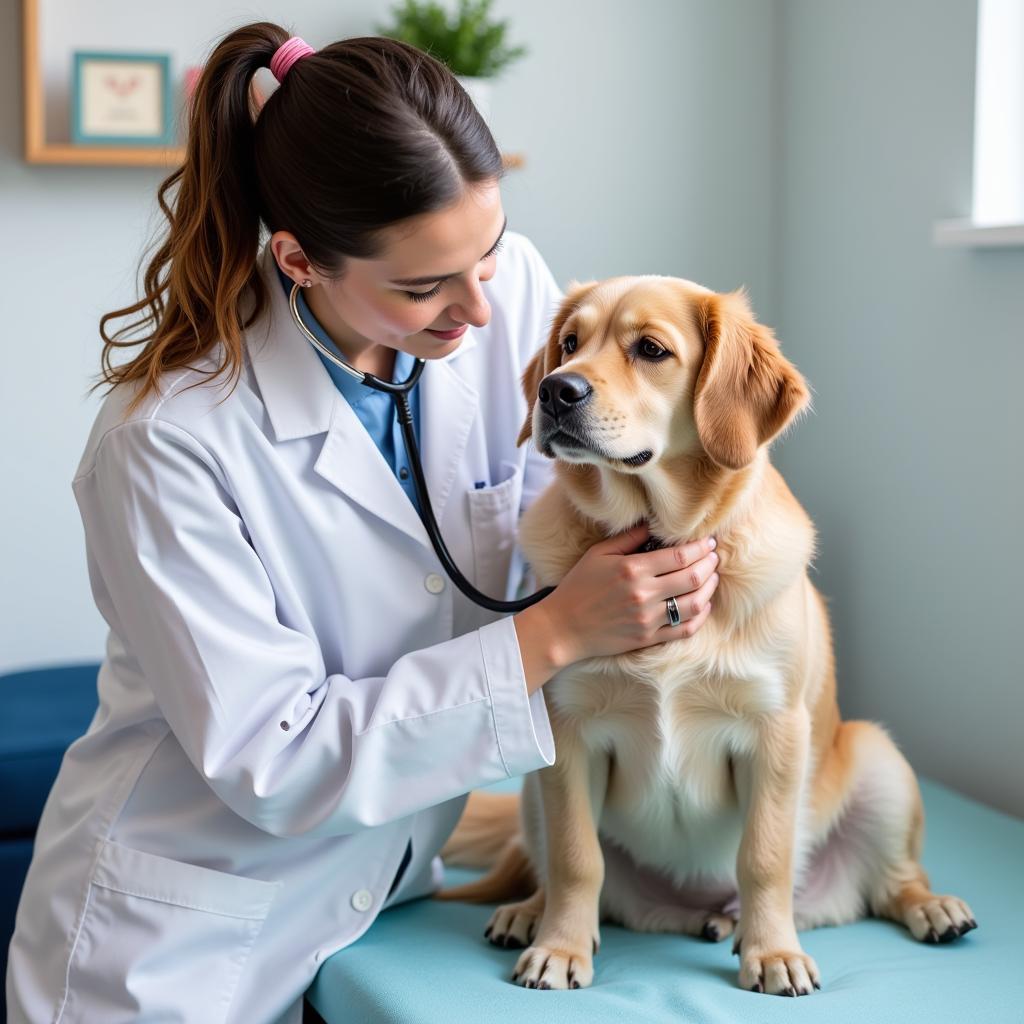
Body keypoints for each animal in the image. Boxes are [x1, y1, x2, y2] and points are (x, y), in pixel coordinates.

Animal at [434, 276, 974, 995]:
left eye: (651, 349)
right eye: (570, 343)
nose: (554, 390)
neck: (661, 536)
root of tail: (693, 911)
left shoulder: (776, 731)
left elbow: (764, 857)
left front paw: (772, 953)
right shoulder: (568, 734)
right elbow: (577, 858)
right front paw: (561, 948)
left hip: (878, 758)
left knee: (890, 885)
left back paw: (927, 908)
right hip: (531, 779)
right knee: (546, 864)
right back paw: (530, 913)